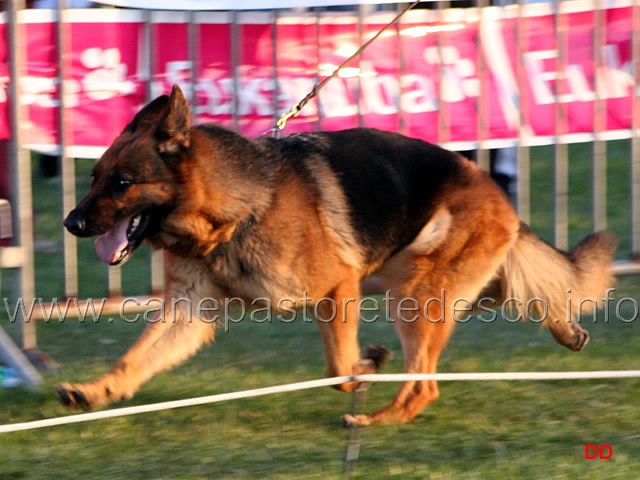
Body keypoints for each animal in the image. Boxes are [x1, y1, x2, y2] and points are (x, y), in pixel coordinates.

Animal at [57, 84, 616, 426]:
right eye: (93, 178)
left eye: (122, 183)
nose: (71, 224)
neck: (229, 213)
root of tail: (495, 190)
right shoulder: (189, 311)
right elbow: (136, 358)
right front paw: (96, 392)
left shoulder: (337, 288)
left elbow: (337, 367)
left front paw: (367, 365)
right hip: (416, 279)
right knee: (510, 286)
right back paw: (567, 330)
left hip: (417, 296)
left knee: (425, 384)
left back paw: (378, 418)